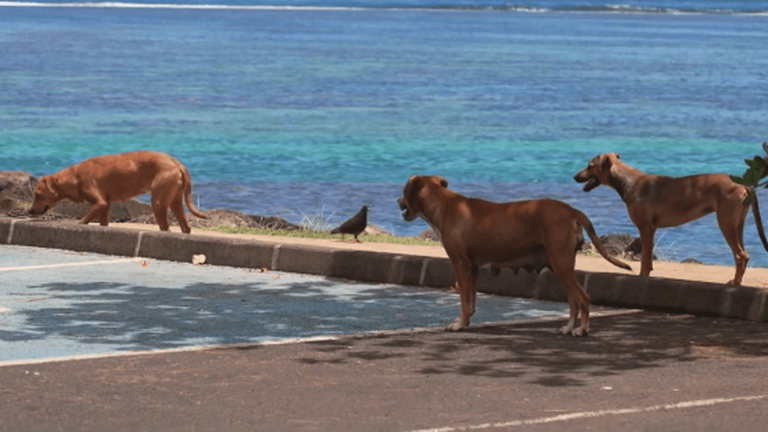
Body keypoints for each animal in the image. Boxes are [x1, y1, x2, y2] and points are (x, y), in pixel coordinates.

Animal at [29, 151, 206, 235]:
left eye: (38, 194)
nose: (29, 211)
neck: (75, 177)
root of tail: (176, 163)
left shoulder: (100, 202)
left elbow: (83, 220)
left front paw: (78, 224)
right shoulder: (105, 206)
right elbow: (103, 222)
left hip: (158, 203)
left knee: (165, 227)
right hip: (175, 202)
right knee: (185, 227)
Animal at [396, 174, 632, 336]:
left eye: (403, 189)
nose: (397, 201)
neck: (443, 205)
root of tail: (571, 210)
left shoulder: (460, 264)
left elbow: (463, 300)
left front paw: (458, 324)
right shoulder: (473, 268)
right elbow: (471, 301)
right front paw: (466, 322)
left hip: (561, 265)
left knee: (583, 298)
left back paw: (581, 330)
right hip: (561, 266)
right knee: (574, 300)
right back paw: (568, 327)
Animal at [568, 154, 756, 286]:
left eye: (590, 166)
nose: (574, 177)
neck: (627, 181)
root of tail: (743, 185)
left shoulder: (645, 228)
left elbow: (644, 259)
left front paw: (642, 276)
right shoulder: (651, 229)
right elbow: (648, 257)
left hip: (725, 223)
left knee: (740, 255)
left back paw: (736, 283)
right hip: (737, 225)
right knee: (743, 255)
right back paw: (737, 281)